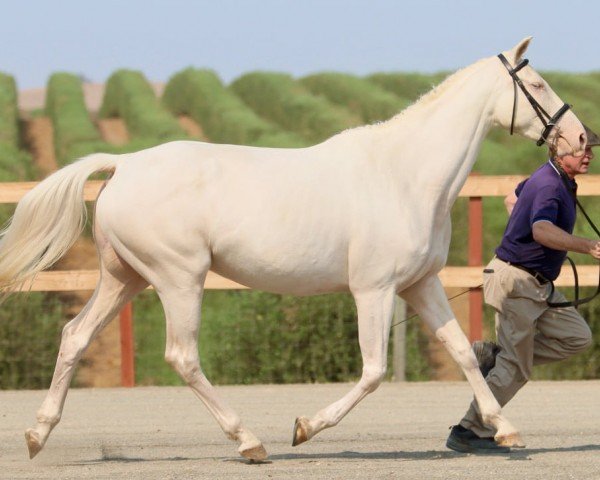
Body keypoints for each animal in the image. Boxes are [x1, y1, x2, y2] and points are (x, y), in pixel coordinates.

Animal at [0, 38, 584, 462]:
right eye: (537, 82)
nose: (581, 139)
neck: (404, 175)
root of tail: (124, 164)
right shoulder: (372, 290)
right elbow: (373, 371)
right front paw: (304, 427)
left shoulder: (420, 285)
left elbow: (462, 351)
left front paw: (505, 429)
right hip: (177, 279)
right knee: (182, 356)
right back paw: (250, 442)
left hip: (125, 277)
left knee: (75, 336)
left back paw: (37, 435)